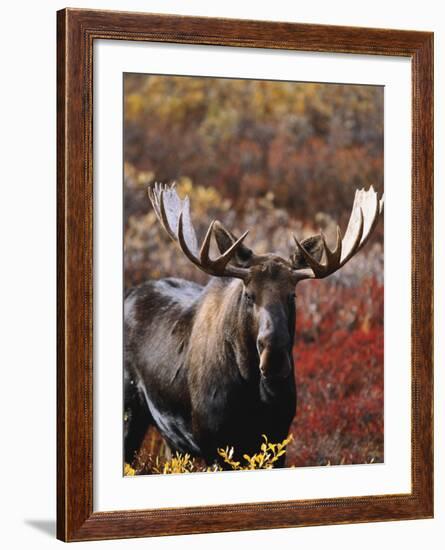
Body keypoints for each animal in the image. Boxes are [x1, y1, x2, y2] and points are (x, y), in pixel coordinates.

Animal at [124, 183, 382, 468]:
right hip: (131, 413)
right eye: (249, 294)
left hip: (173, 441)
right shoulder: (214, 444)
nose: (274, 357)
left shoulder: (278, 438)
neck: (252, 393)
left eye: (292, 295)